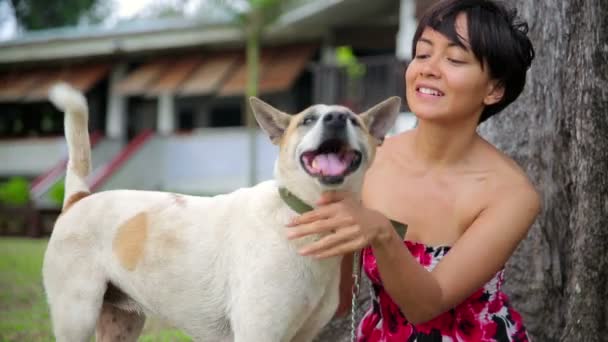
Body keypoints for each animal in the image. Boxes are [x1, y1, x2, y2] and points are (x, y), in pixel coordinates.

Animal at [45, 83, 402, 342]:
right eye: (308, 120)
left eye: (353, 120)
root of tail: (78, 198)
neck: (304, 218)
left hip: (122, 321)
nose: (336, 119)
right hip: (76, 316)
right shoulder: (258, 333)